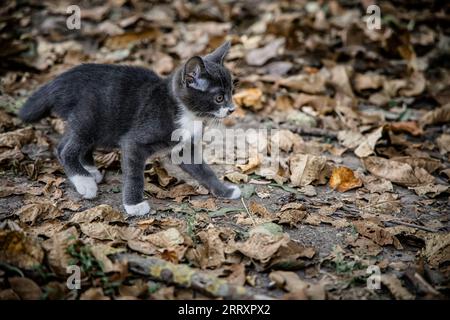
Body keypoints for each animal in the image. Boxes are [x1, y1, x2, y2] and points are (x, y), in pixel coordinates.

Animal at [18, 40, 241, 215]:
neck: (184, 112)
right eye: (219, 98)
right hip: (90, 118)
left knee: (67, 142)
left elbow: (204, 170)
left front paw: (225, 191)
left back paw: (89, 170)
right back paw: (84, 181)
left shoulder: (185, 148)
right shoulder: (134, 142)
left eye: (231, 92)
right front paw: (134, 205)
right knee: (66, 148)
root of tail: (61, 80)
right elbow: (134, 174)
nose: (232, 109)